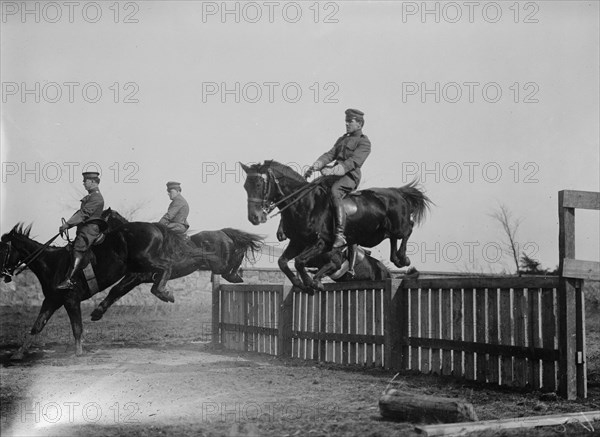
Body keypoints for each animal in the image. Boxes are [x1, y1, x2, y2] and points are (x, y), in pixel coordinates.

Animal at [240, 158, 432, 292]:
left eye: (259, 184)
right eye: (245, 186)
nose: (254, 218)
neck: (305, 204)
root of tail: (398, 192)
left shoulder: (323, 244)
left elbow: (300, 262)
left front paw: (312, 283)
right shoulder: (298, 243)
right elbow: (283, 262)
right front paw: (300, 283)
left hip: (398, 226)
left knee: (409, 228)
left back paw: (403, 257)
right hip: (380, 233)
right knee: (393, 238)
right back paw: (397, 259)